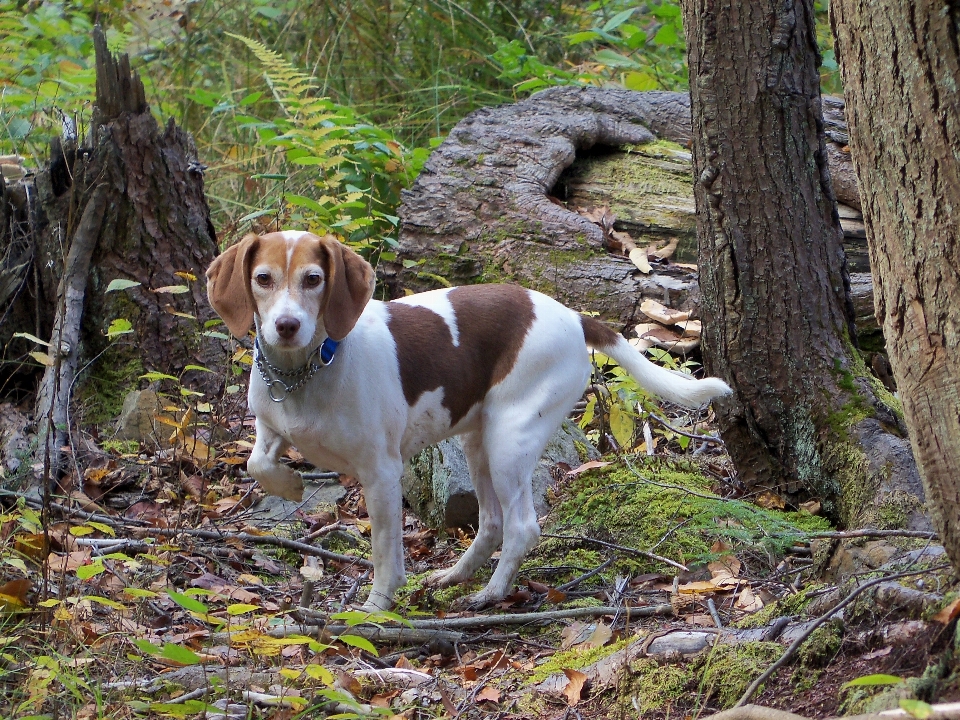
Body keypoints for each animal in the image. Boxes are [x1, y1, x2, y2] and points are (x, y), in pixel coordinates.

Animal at [206, 233, 732, 612]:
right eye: (263, 278)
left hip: (509, 441)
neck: (308, 370)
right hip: (480, 445)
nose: (287, 326)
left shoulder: (381, 473)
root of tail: (573, 316)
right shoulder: (270, 426)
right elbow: (257, 463)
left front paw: (376, 607)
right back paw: (458, 575)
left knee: (522, 527)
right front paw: (290, 485)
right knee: (494, 523)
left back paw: (491, 593)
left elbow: (384, 552)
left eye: (314, 279)